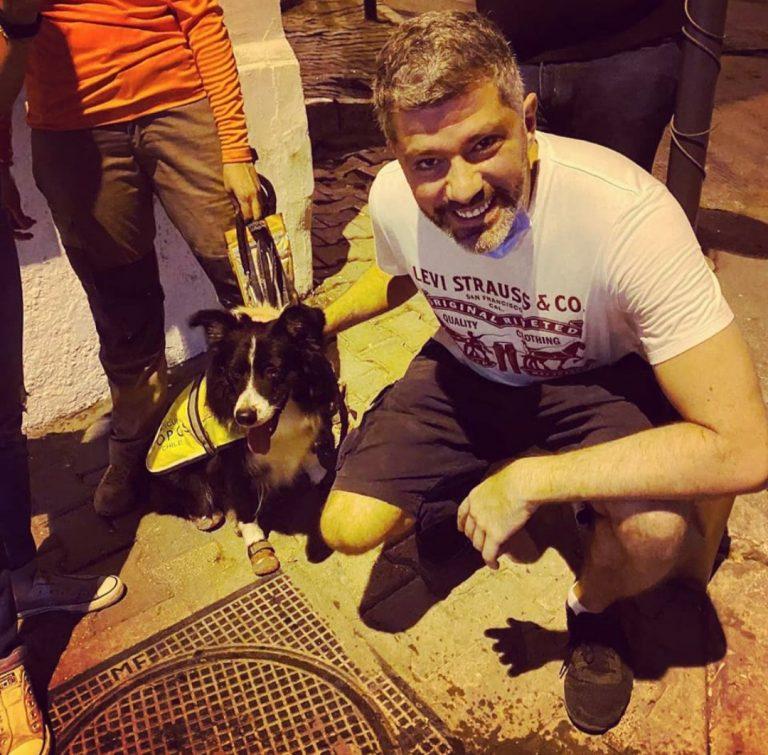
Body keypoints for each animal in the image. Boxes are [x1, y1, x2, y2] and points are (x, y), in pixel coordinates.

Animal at [168, 304, 340, 576]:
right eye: (235, 373)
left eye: (273, 371)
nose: (244, 417)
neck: (281, 423)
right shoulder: (234, 462)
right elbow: (244, 503)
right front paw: (257, 544)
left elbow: (309, 453)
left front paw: (321, 474)